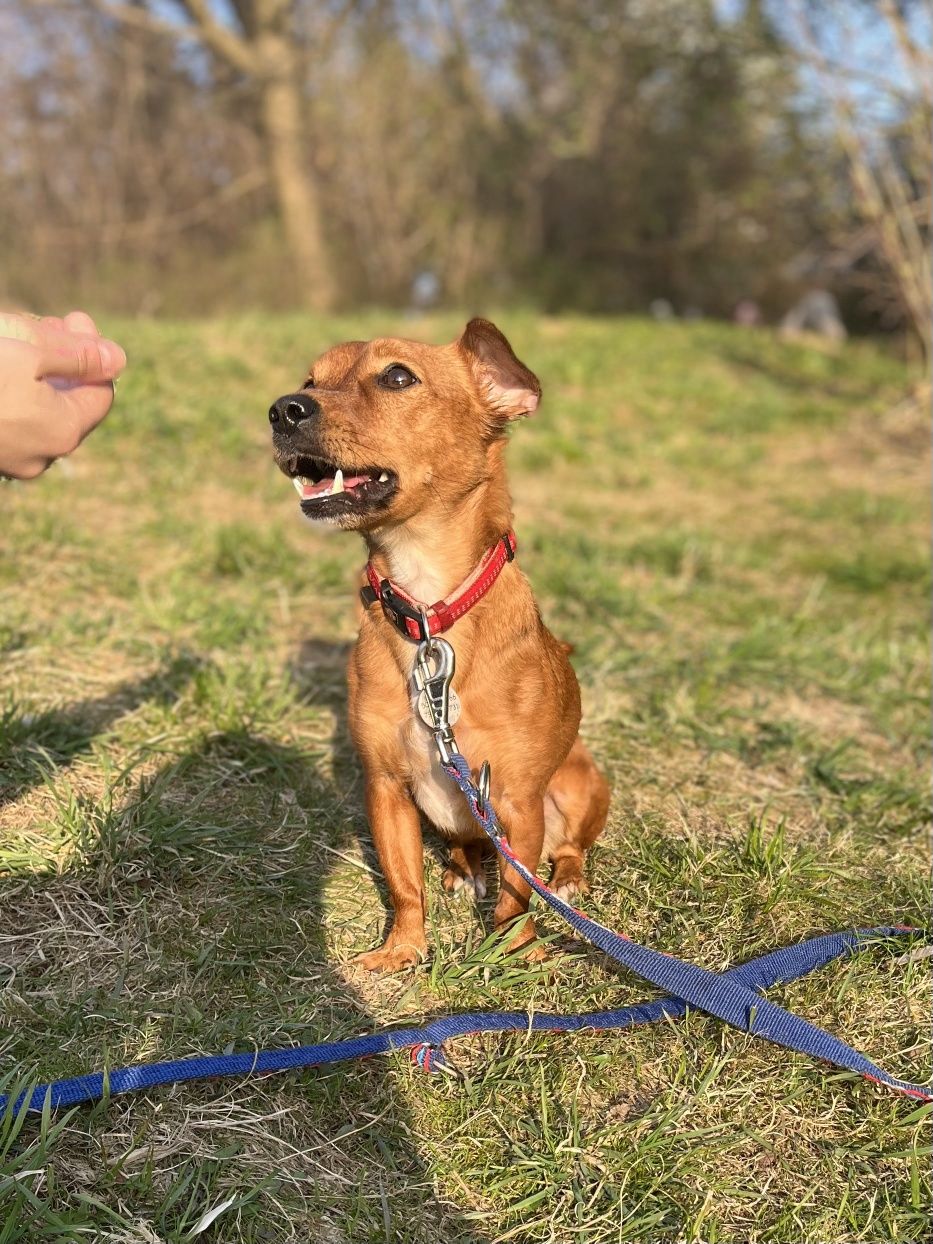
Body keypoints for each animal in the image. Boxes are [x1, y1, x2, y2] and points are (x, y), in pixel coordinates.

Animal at [268, 320, 614, 970]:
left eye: (398, 377)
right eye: (311, 380)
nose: (282, 409)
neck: (430, 611)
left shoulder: (517, 800)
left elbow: (516, 896)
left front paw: (512, 953)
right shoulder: (385, 787)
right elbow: (405, 883)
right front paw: (402, 950)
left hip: (581, 783)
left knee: (565, 852)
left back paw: (568, 880)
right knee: (464, 844)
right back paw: (462, 868)